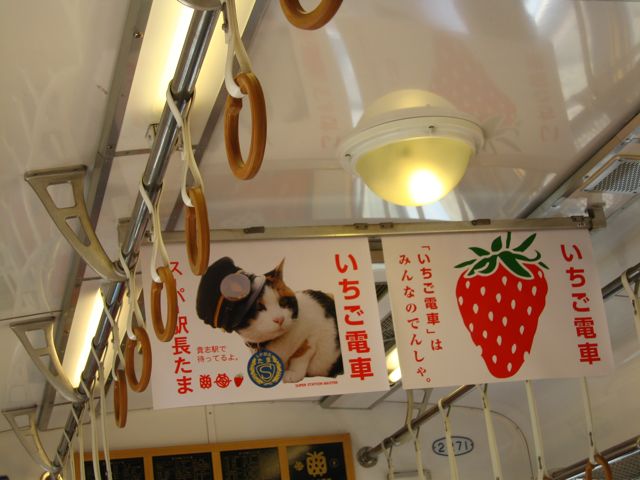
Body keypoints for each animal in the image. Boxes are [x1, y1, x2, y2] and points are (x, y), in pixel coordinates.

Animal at [196, 257, 344, 383]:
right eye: (259, 307)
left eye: (283, 302)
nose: (279, 319)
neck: (273, 342)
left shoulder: (313, 334)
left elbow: (301, 354)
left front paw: (293, 373)